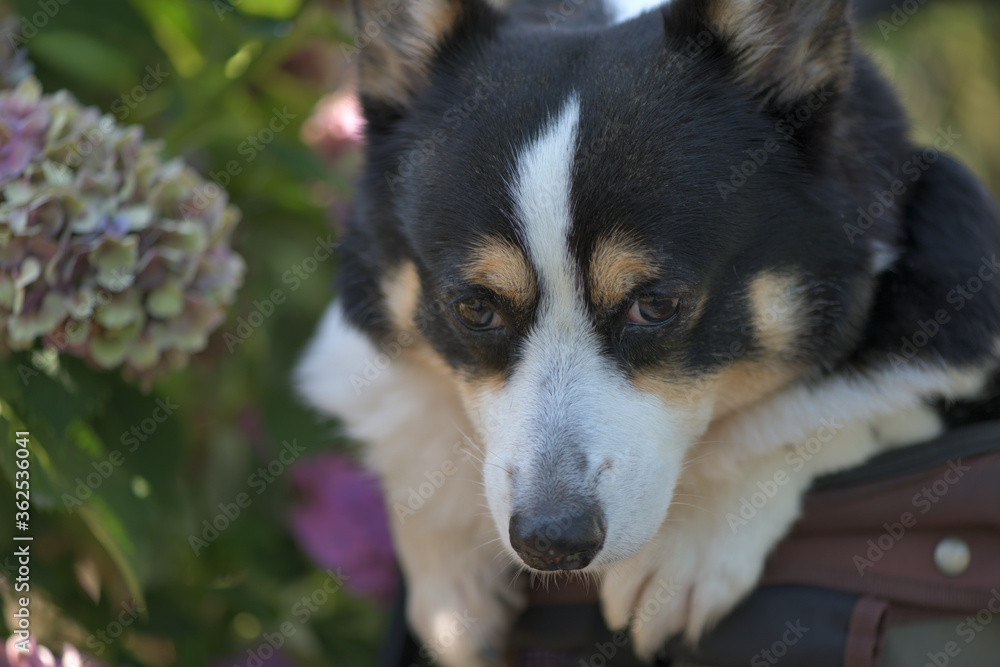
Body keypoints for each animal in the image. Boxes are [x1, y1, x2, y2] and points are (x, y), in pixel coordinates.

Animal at [294, 2, 1000, 664]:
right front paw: (450, 586)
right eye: (473, 308)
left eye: (656, 304)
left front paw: (690, 546)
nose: (551, 544)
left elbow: (832, 404)